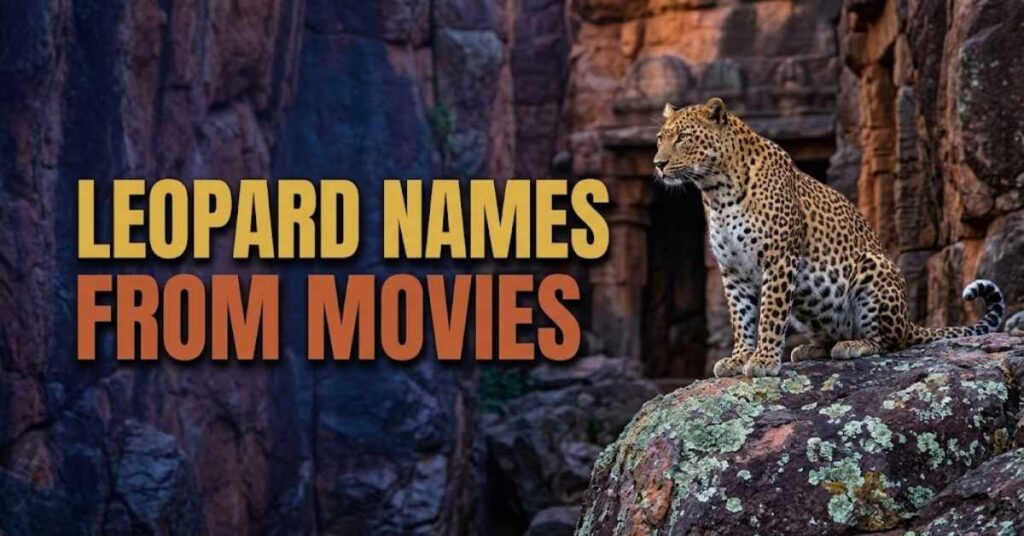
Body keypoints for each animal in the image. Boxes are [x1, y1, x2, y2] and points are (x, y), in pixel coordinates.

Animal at [653, 97, 1005, 378]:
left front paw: (764, 360)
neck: (717, 192)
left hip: (872, 267)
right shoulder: (733, 271)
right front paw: (739, 358)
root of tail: (909, 320)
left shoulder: (779, 259)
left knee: (890, 342)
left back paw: (854, 345)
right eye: (660, 139)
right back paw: (810, 348)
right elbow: (741, 318)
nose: (657, 164)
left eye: (683, 138)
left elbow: (769, 315)